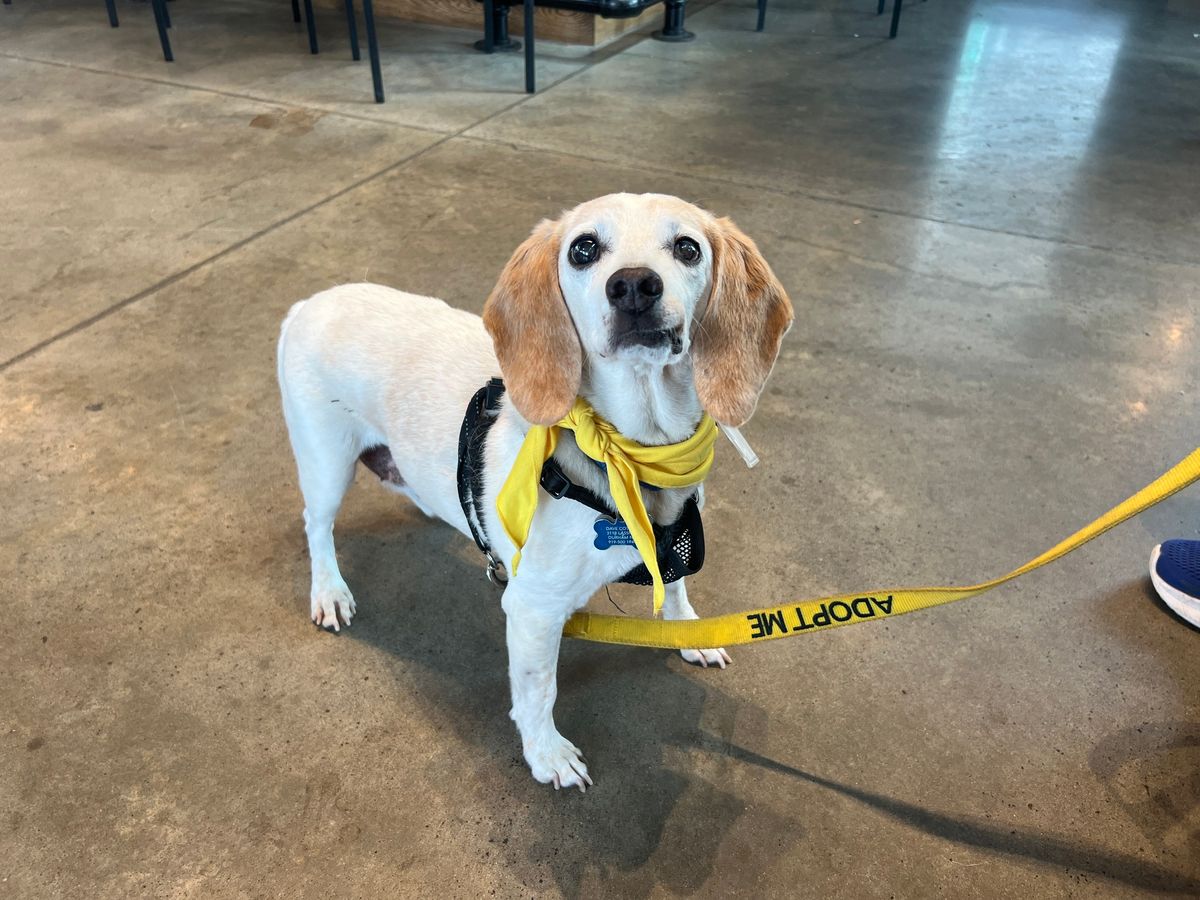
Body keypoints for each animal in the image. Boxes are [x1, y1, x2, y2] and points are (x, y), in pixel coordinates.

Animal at [276, 194, 792, 792]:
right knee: (317, 526)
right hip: (327, 465)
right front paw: (546, 754)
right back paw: (329, 591)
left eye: (688, 248)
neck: (631, 458)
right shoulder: (530, 610)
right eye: (583, 249)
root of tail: (308, 303)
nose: (634, 286)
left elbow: (679, 589)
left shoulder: (677, 534)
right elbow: (538, 689)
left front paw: (689, 632)